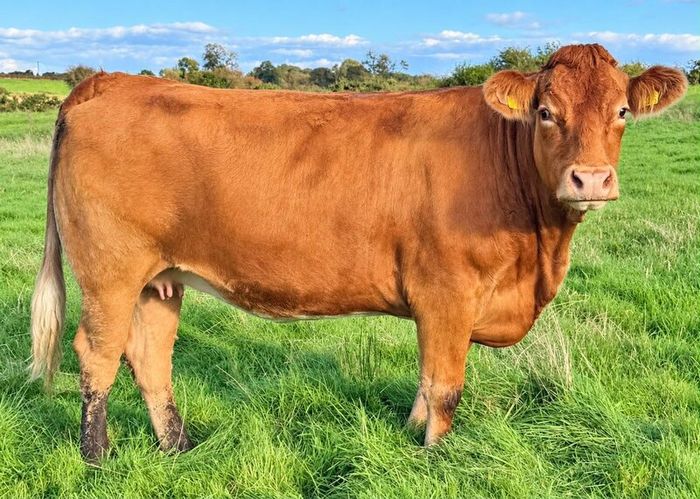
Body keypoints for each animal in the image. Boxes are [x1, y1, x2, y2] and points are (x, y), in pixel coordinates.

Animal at [29, 44, 686, 462]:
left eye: (622, 111)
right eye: (547, 113)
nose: (591, 179)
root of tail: (110, 80)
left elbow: (425, 380)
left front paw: (413, 433)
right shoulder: (447, 292)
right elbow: (446, 385)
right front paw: (436, 458)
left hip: (160, 276)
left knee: (149, 356)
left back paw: (178, 449)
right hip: (110, 271)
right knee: (97, 354)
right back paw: (98, 459)